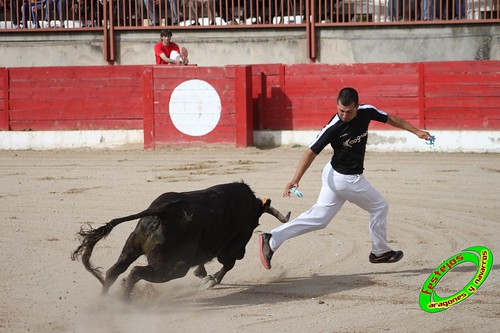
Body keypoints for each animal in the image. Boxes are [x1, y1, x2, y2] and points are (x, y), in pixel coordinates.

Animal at [70, 182, 290, 298]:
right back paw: (124, 300)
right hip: (173, 267)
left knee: (114, 271)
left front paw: (202, 273)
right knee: (135, 272)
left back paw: (104, 301)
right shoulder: (230, 247)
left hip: (132, 246)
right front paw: (209, 280)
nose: (243, 254)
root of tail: (163, 211)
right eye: (254, 224)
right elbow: (227, 265)